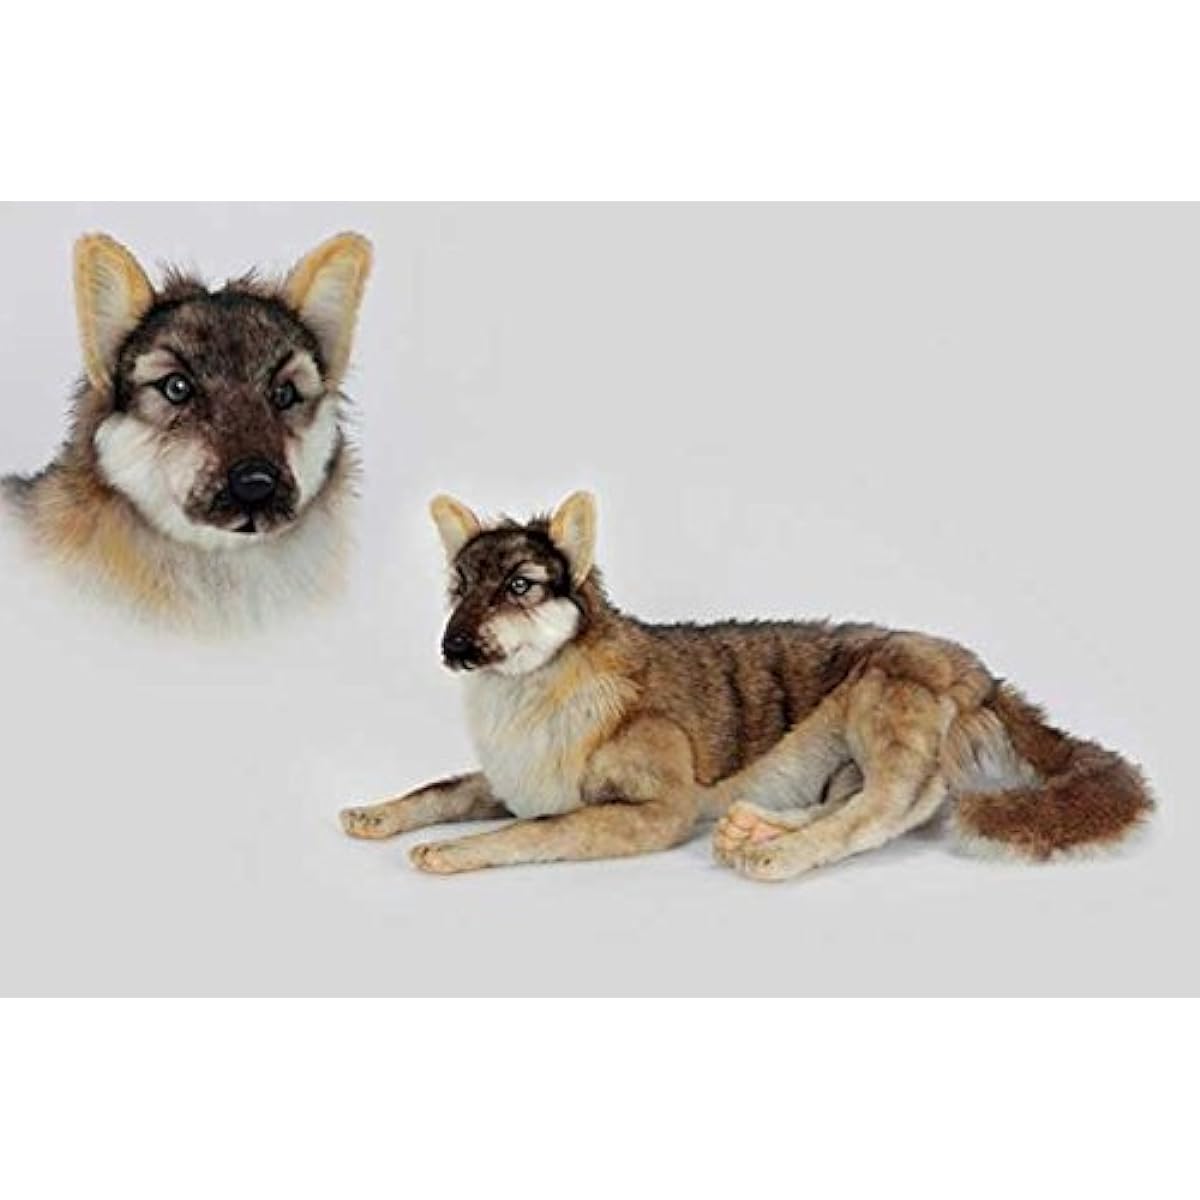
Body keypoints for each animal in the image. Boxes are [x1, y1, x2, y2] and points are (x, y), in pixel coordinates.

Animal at [340, 491, 1152, 881]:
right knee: (862, 803)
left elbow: (533, 832)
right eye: (459, 589)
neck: (534, 693)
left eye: (520, 586)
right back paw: (756, 826)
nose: (451, 648)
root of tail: (978, 668)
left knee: (885, 810)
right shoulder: (508, 779)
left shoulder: (658, 812)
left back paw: (778, 854)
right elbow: (439, 790)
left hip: (878, 693)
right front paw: (378, 814)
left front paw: (455, 854)